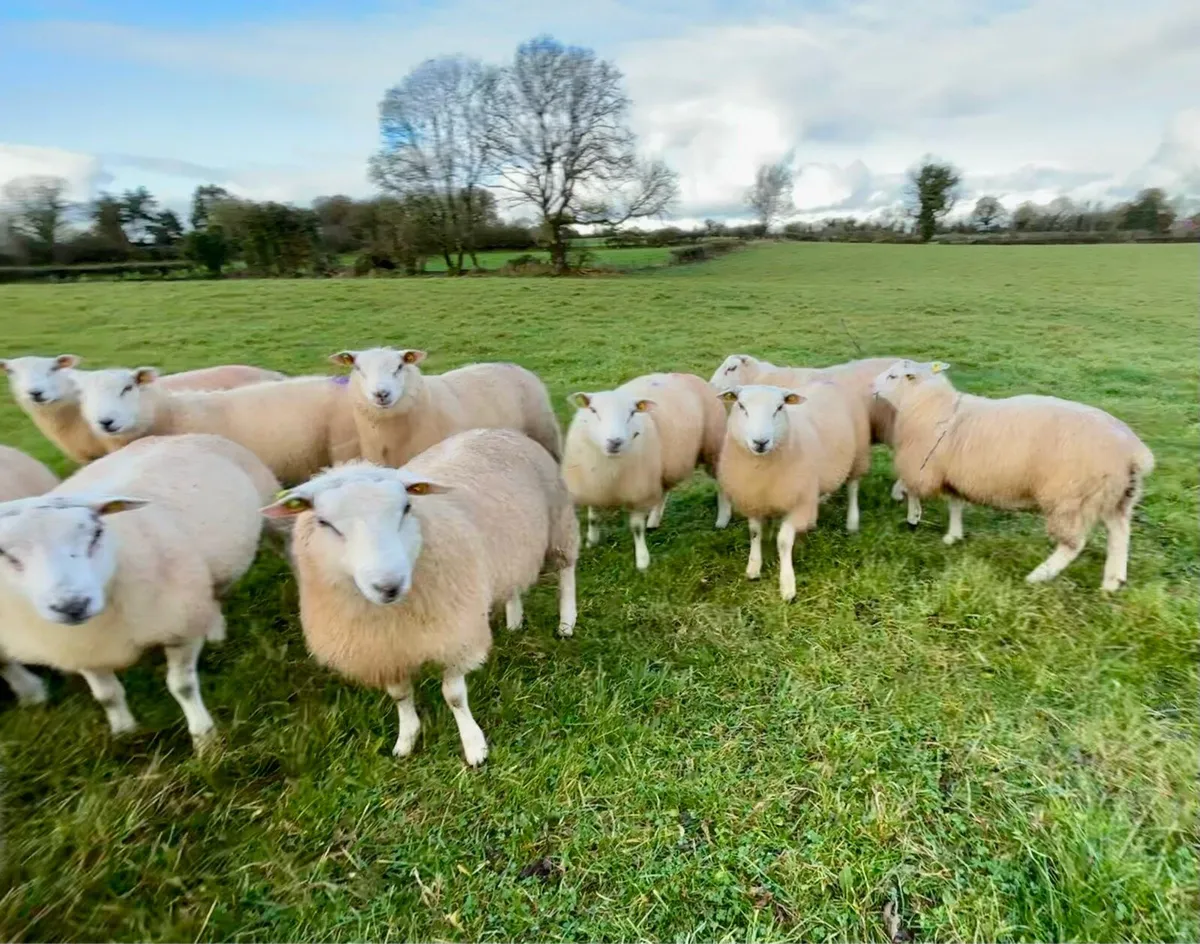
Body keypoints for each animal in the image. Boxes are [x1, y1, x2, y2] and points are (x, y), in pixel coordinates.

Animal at [262, 428, 579, 766]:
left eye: (406, 508)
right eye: (324, 522)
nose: (389, 585)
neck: (390, 615)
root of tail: (495, 429)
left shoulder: (455, 632)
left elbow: (454, 697)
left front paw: (474, 746)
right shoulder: (385, 651)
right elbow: (400, 695)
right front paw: (406, 738)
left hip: (559, 520)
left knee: (567, 569)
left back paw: (566, 622)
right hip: (511, 546)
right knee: (513, 584)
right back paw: (514, 620)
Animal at [562, 372, 726, 572]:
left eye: (632, 413)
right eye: (593, 410)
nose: (615, 441)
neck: (609, 466)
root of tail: (685, 374)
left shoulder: (637, 491)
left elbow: (636, 528)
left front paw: (642, 561)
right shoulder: (593, 485)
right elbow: (593, 517)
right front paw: (591, 542)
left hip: (713, 447)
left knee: (721, 482)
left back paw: (722, 520)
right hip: (665, 464)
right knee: (664, 491)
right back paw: (654, 521)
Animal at [717, 381, 872, 601]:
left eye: (779, 408)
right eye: (741, 406)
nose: (760, 442)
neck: (760, 469)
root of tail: (828, 380)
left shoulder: (798, 501)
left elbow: (783, 542)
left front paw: (787, 585)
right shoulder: (753, 498)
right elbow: (755, 532)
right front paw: (754, 568)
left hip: (858, 455)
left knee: (853, 488)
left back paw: (852, 522)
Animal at [872, 360, 1156, 591]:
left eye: (893, 376)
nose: (871, 386)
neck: (929, 405)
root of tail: (1135, 451)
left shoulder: (922, 465)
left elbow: (912, 489)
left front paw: (911, 515)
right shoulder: (954, 473)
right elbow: (955, 504)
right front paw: (953, 536)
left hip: (1072, 496)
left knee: (1073, 544)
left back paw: (1039, 575)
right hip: (1114, 495)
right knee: (1119, 533)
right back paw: (1112, 582)